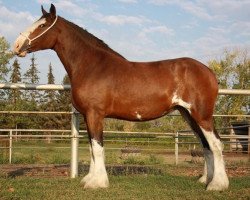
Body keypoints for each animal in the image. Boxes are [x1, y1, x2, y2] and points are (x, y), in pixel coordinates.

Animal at [13, 3, 229, 191]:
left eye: (42, 25)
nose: (17, 46)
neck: (91, 66)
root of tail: (209, 72)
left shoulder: (94, 114)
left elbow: (97, 147)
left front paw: (97, 183)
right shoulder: (88, 116)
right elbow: (91, 147)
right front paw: (90, 179)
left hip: (201, 115)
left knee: (216, 144)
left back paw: (217, 185)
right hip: (188, 115)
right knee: (206, 145)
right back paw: (205, 179)